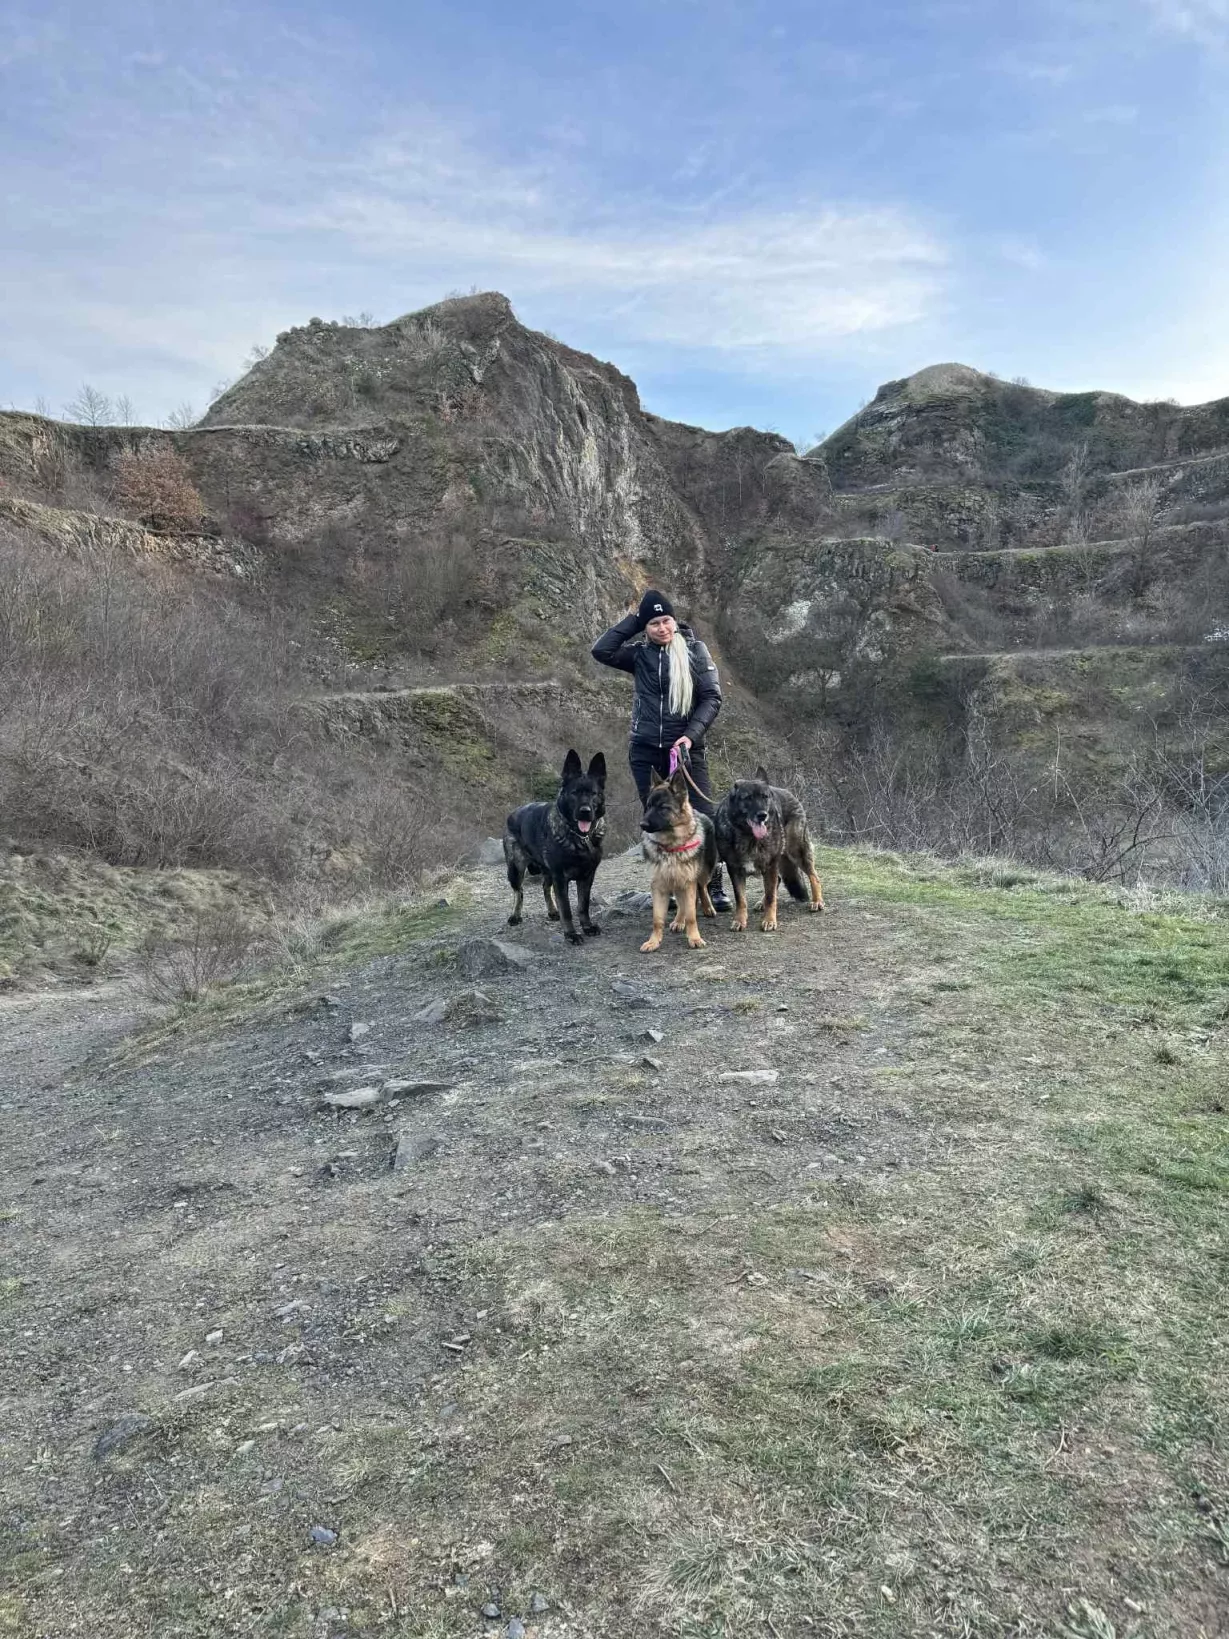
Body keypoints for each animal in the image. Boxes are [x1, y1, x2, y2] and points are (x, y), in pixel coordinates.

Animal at [503, 750, 606, 945]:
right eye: (574, 793)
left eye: (593, 794)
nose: (585, 811)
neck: (578, 838)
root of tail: (512, 813)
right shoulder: (561, 878)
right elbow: (566, 908)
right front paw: (571, 934)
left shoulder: (587, 877)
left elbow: (583, 906)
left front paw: (587, 926)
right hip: (516, 869)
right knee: (519, 891)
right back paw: (515, 915)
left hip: (546, 871)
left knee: (545, 887)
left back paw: (551, 911)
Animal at [638, 768, 719, 952]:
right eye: (648, 806)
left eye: (663, 808)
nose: (642, 825)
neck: (670, 846)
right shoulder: (659, 886)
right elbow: (657, 920)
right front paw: (654, 941)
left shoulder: (688, 882)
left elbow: (691, 916)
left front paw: (694, 938)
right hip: (676, 880)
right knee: (682, 903)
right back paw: (678, 920)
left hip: (704, 873)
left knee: (702, 888)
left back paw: (707, 907)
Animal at [714, 766, 824, 932]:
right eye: (747, 798)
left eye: (764, 797)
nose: (762, 815)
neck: (748, 836)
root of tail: (788, 792)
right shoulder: (735, 870)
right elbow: (741, 899)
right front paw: (740, 920)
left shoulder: (771, 865)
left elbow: (772, 896)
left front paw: (769, 920)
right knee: (777, 881)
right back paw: (762, 902)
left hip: (796, 851)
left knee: (814, 876)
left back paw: (817, 901)